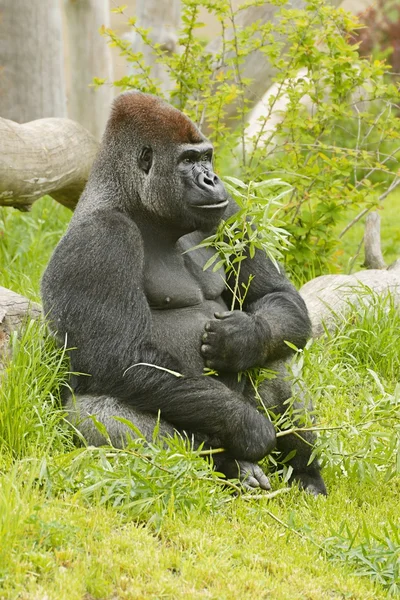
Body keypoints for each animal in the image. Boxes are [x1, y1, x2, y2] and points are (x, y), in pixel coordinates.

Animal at [42, 94, 326, 494]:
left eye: (206, 157)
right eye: (188, 161)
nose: (211, 178)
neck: (138, 206)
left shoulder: (229, 210)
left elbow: (279, 297)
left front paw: (242, 338)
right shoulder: (101, 238)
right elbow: (120, 360)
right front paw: (249, 428)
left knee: (278, 354)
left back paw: (305, 474)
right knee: (100, 410)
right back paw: (231, 465)